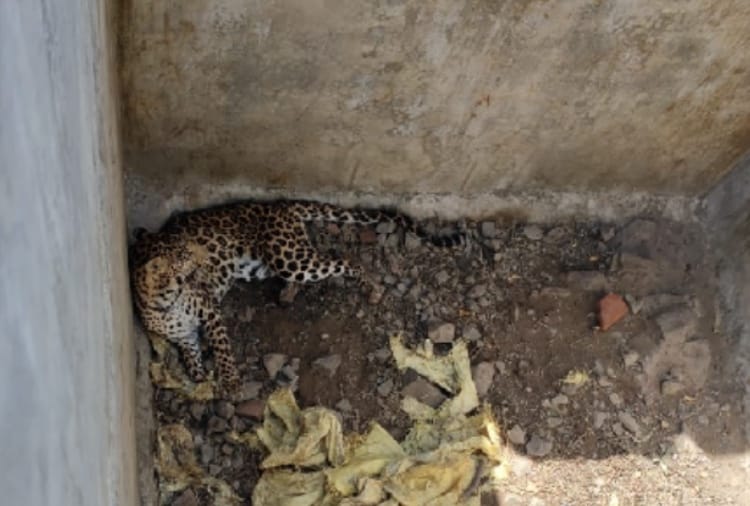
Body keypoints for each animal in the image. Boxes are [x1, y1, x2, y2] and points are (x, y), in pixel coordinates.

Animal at [129, 199, 464, 394]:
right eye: (183, 256)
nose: (200, 258)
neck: (165, 301)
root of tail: (281, 205)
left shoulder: (209, 311)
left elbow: (222, 349)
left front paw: (231, 381)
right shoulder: (184, 335)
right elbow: (191, 357)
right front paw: (198, 378)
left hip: (287, 256)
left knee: (344, 258)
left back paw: (371, 288)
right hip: (260, 264)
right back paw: (288, 294)